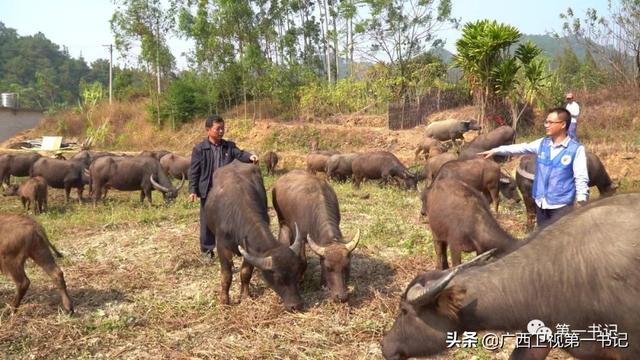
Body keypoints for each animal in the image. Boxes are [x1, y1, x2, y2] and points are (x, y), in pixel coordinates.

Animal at [205, 162, 304, 310]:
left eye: (296, 273)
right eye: (279, 279)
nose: (296, 305)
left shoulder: (251, 250)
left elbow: (246, 273)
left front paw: (245, 296)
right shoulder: (222, 246)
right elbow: (226, 275)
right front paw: (224, 301)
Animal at [272, 170, 360, 302]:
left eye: (346, 266)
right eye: (328, 268)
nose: (341, 297)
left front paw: (323, 283)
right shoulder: (301, 236)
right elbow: (303, 261)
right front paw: (299, 280)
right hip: (282, 220)